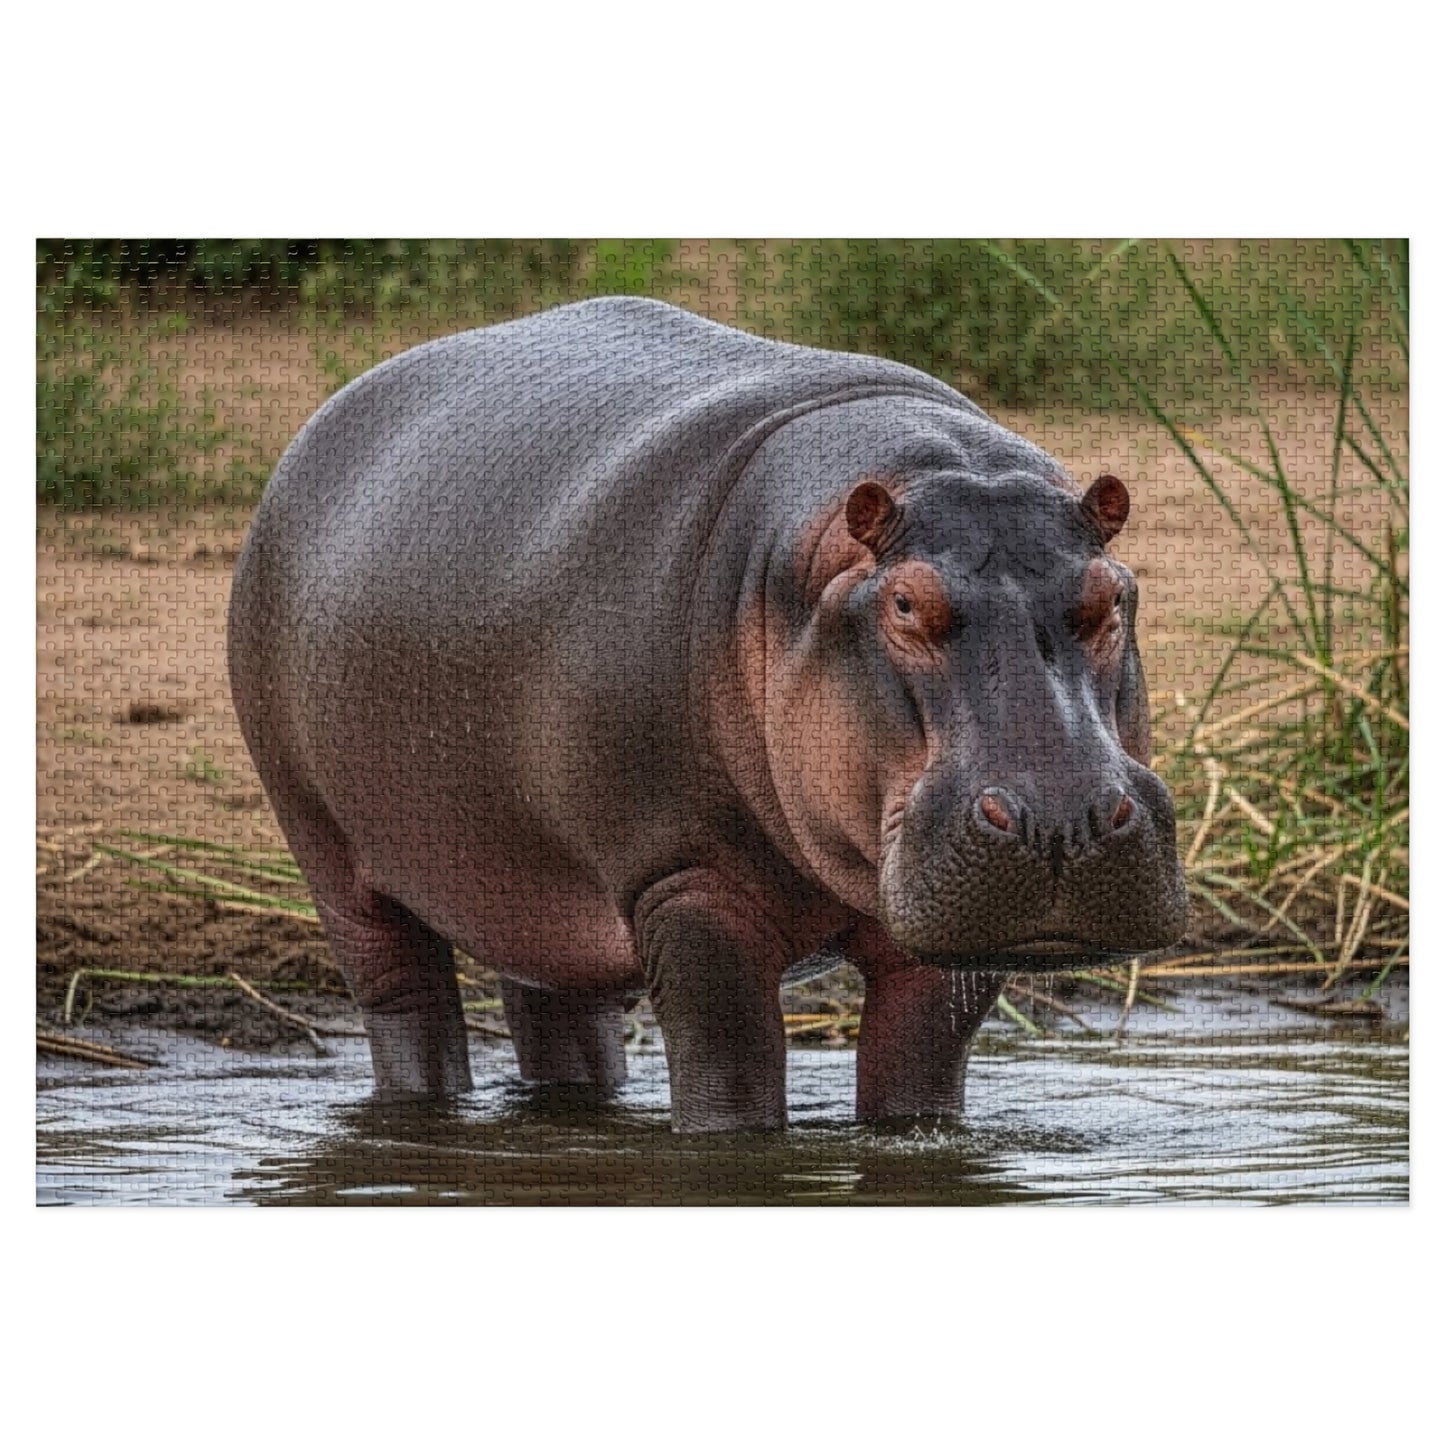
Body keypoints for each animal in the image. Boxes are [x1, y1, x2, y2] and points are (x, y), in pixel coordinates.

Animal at [228, 296, 1187, 1132]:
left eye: (1112, 594)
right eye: (906, 604)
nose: (1060, 820)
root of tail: (329, 419)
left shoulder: (941, 929)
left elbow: (919, 1069)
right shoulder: (682, 877)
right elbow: (730, 1065)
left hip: (529, 873)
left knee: (557, 1006)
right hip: (325, 846)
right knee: (404, 999)